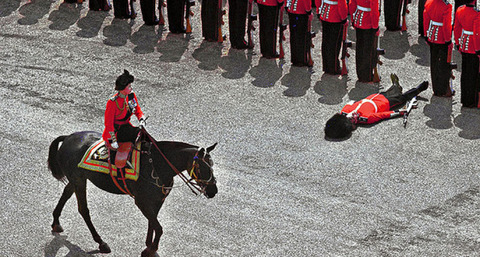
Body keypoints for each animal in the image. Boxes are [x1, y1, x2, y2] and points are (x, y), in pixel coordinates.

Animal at [47, 131, 218, 255]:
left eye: (212, 165)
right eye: (203, 166)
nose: (213, 191)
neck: (157, 165)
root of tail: (68, 137)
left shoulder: (157, 200)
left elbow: (153, 223)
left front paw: (149, 245)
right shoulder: (141, 201)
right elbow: (158, 227)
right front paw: (152, 248)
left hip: (77, 180)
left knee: (66, 194)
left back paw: (56, 222)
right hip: (79, 181)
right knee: (84, 210)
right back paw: (101, 242)